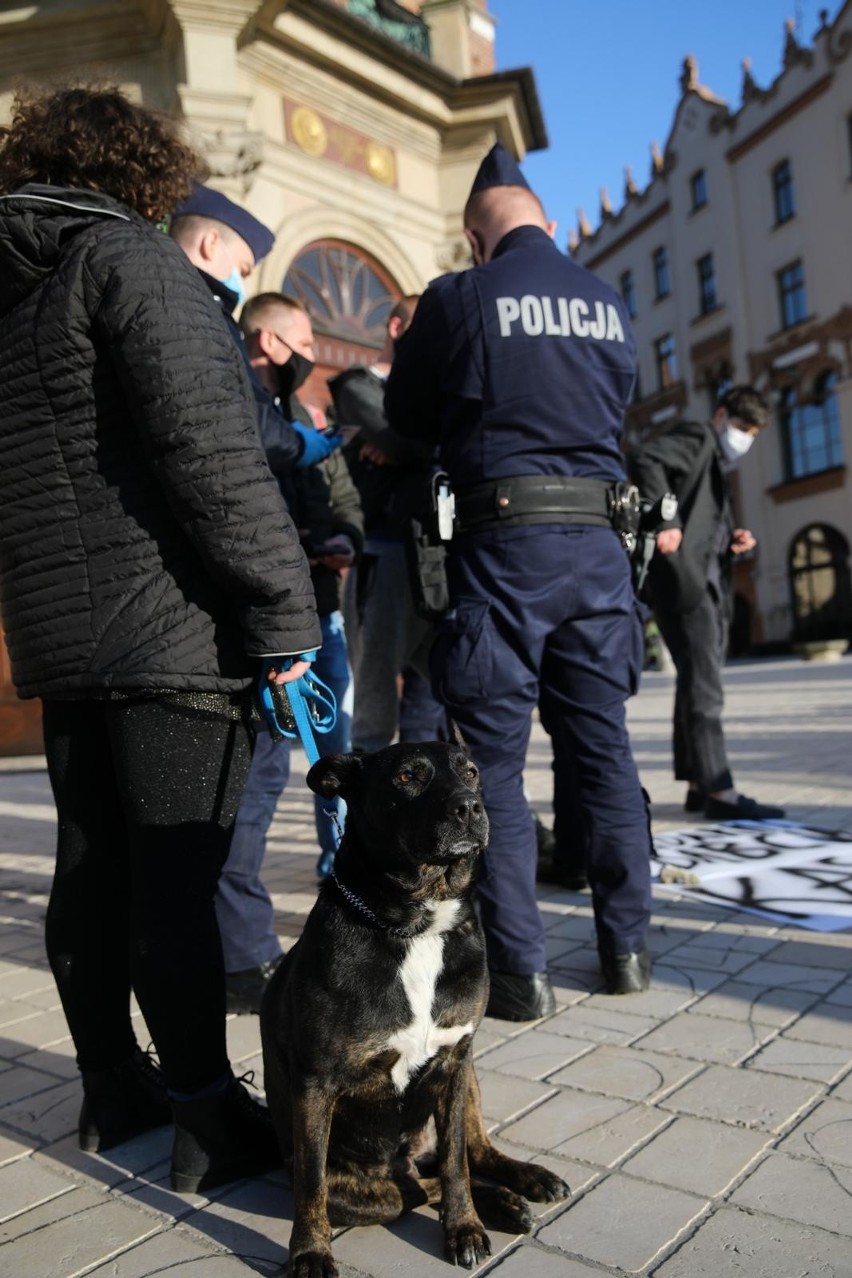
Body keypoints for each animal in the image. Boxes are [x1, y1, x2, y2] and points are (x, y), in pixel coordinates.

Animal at [260, 741, 567, 1278]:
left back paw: (525, 1181)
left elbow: (456, 1163)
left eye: (472, 772)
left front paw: (464, 1228)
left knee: (469, 1154)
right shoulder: (315, 1085)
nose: (470, 806)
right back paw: (504, 1202)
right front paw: (311, 1254)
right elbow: (312, 1188)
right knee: (407, 1190)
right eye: (406, 776)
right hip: (362, 1188)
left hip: (469, 1081)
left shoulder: (456, 1062)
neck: (418, 924)